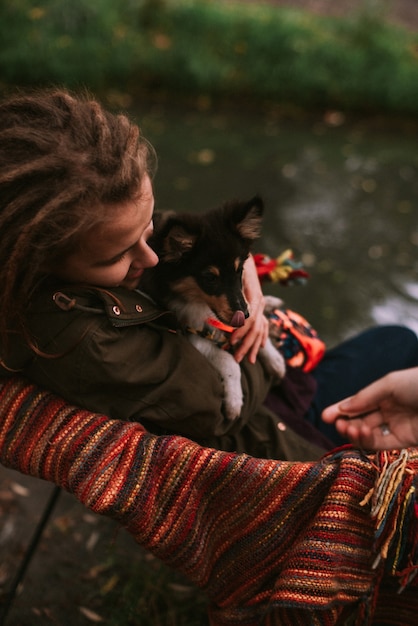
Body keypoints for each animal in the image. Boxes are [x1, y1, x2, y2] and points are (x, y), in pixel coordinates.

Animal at [140, 195, 284, 420]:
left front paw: (275, 360)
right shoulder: (190, 331)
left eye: (239, 270)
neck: (198, 303)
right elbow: (228, 359)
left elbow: (254, 331)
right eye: (210, 278)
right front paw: (234, 402)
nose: (245, 315)